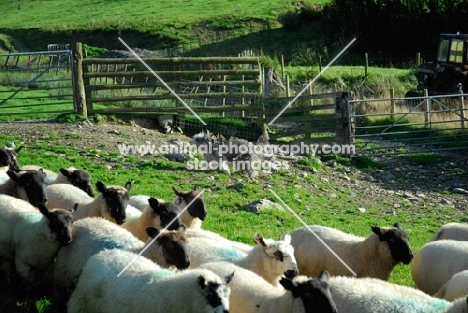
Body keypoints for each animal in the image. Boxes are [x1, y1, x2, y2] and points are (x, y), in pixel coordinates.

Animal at [52, 216, 189, 286]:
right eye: (170, 243)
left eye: (187, 242)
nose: (187, 263)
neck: (140, 251)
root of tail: (82, 220)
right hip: (62, 274)